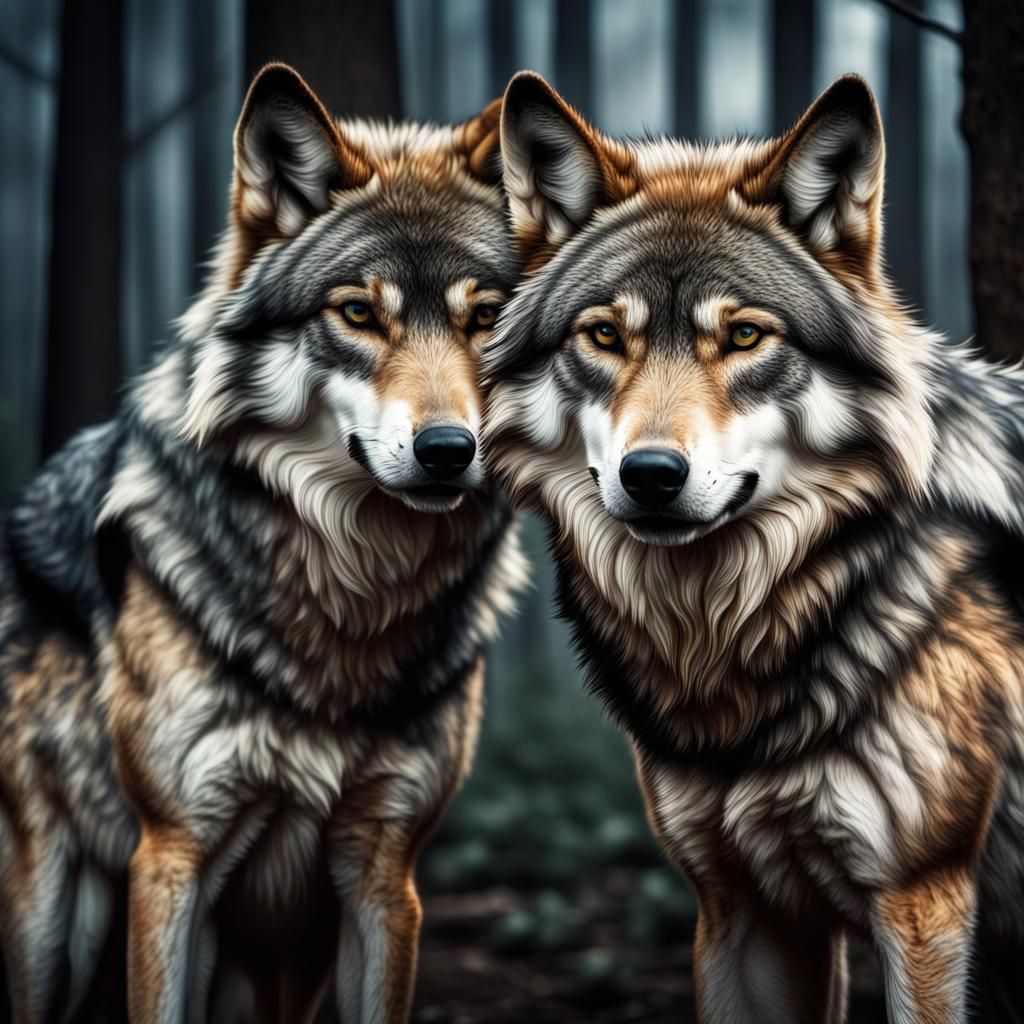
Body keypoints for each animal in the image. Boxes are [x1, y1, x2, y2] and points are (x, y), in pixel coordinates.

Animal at [0, 63, 525, 1024]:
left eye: (486, 319)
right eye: (357, 313)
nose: (449, 450)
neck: (351, 598)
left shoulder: (384, 873)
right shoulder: (173, 857)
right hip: (57, 914)